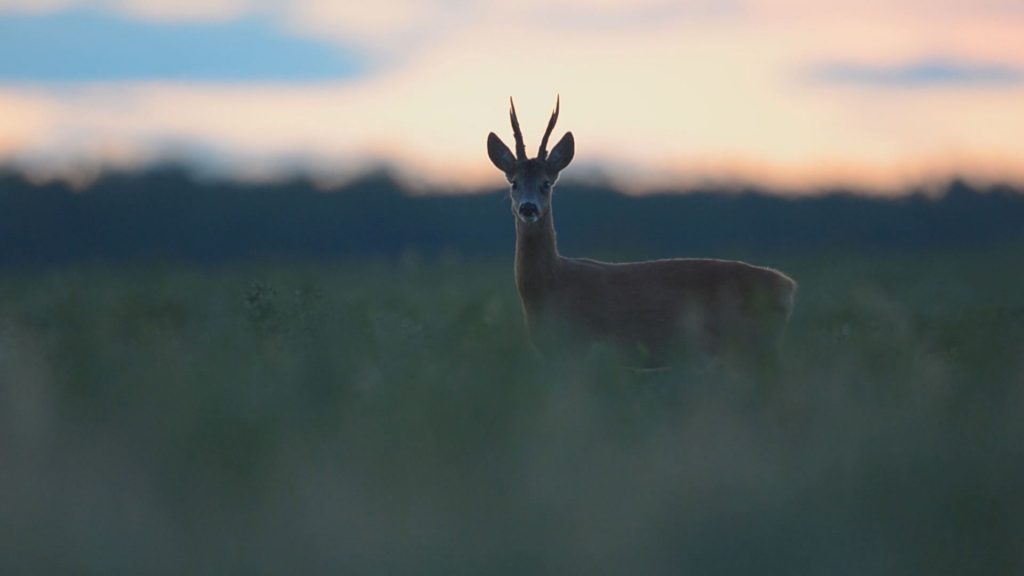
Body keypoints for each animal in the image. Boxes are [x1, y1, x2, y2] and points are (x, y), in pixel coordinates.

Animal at [483, 93, 794, 362]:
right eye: (514, 182)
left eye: (546, 183)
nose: (528, 208)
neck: (551, 285)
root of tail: (788, 286)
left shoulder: (582, 345)